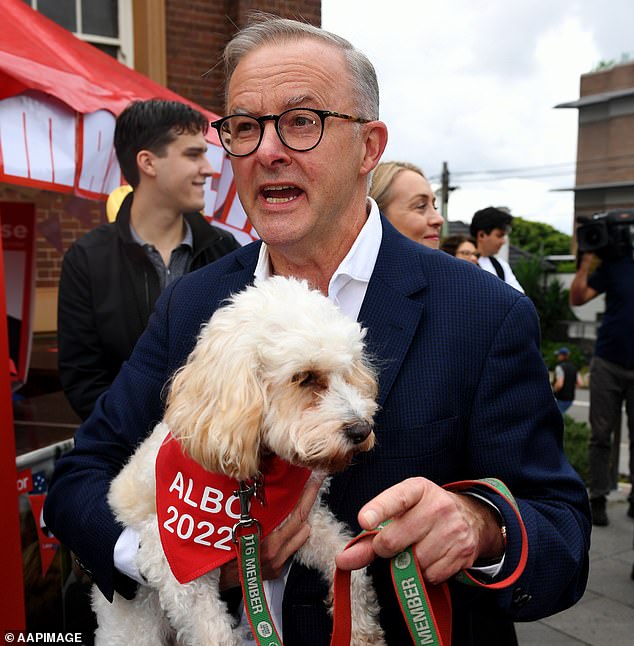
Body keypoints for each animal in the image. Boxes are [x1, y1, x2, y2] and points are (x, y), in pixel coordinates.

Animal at [90, 278, 382, 646]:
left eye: (349, 371)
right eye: (305, 377)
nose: (362, 430)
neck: (250, 481)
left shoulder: (299, 521)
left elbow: (347, 563)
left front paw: (358, 628)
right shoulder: (174, 563)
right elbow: (214, 633)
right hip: (134, 627)